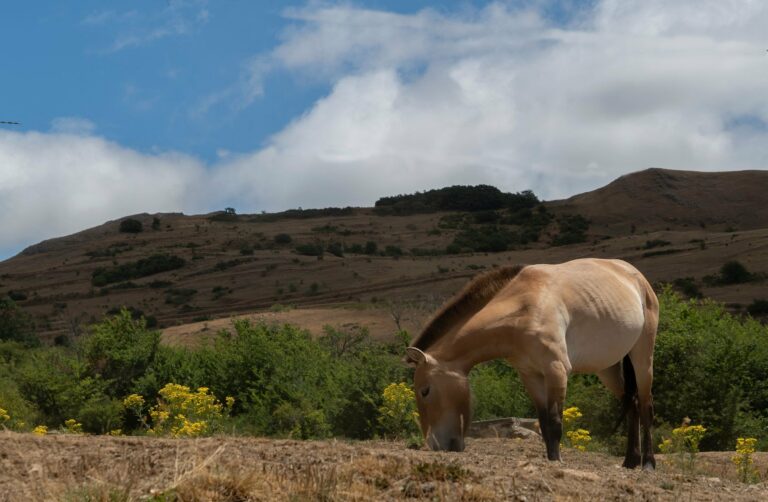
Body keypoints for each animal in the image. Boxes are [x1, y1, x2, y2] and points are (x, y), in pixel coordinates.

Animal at [405, 258, 658, 470]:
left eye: (425, 391)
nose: (434, 445)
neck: (523, 308)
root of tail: (637, 278)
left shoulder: (556, 370)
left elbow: (555, 421)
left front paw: (557, 461)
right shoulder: (530, 375)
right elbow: (544, 423)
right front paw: (551, 458)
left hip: (643, 359)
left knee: (645, 405)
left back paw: (648, 463)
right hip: (608, 369)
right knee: (632, 403)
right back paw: (630, 461)